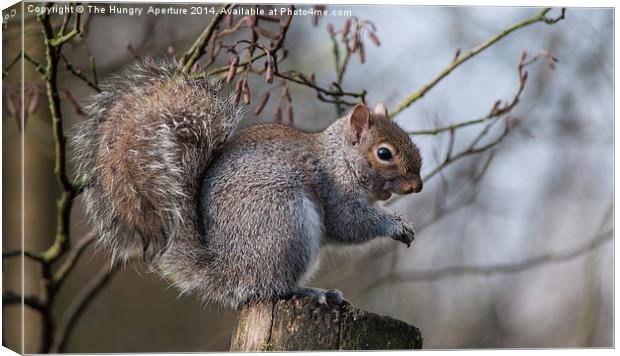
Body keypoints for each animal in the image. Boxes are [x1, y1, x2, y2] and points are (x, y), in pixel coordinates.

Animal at [71, 59, 422, 308]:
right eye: (384, 153)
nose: (417, 187)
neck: (341, 158)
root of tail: (227, 270)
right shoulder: (334, 189)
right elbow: (349, 223)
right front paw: (396, 224)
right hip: (285, 226)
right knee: (271, 288)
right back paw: (311, 293)